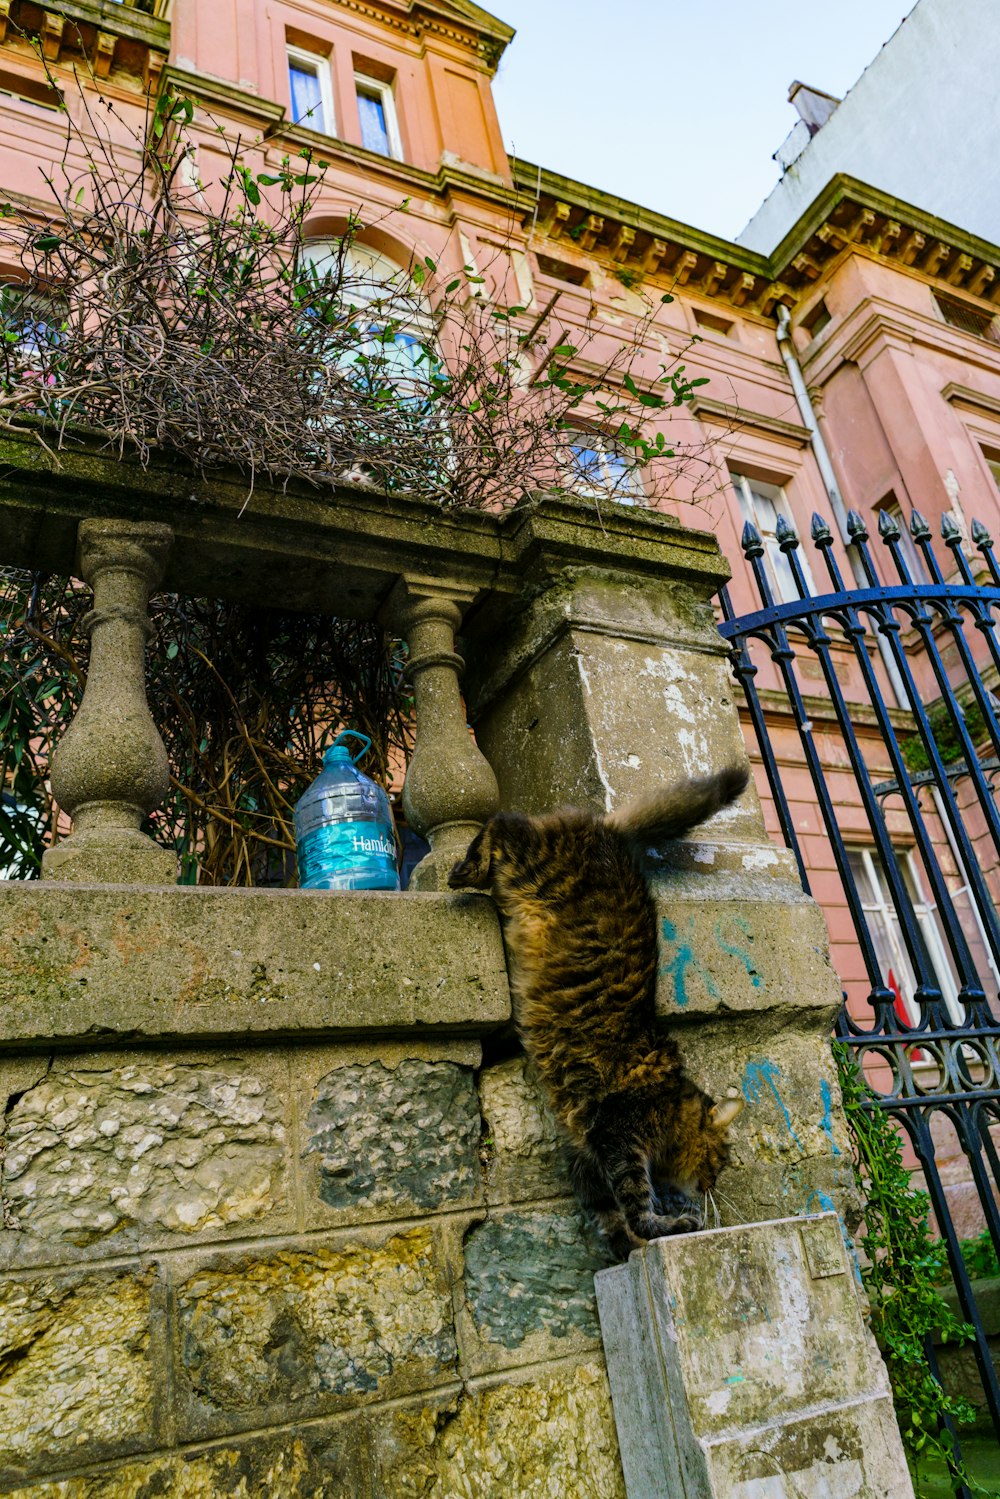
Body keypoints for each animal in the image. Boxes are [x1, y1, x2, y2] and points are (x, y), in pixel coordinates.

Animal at [449, 767, 746, 1259]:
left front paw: (627, 1248)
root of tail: (611, 834)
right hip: (528, 859)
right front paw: (670, 1225)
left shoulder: (585, 1156)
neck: (669, 1099)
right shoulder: (619, 1137)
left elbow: (609, 1218)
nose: (712, 1186)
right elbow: (639, 1207)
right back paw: (466, 868)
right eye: (720, 1159)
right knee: (502, 822)